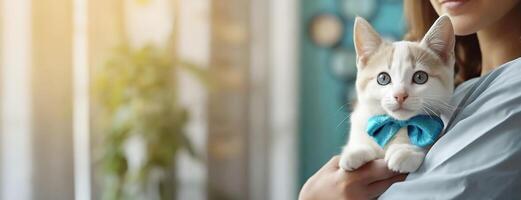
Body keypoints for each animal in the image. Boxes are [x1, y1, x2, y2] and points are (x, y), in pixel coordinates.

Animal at [338, 14, 456, 173]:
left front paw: (406, 150)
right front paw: (356, 150)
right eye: (383, 78)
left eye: (420, 77)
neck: (396, 125)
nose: (400, 95)